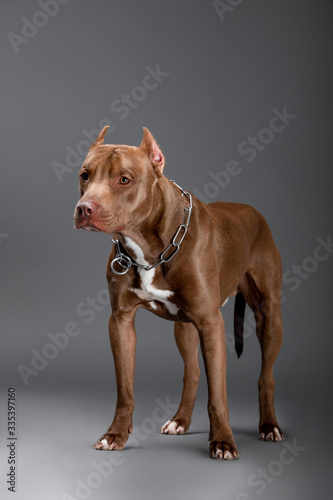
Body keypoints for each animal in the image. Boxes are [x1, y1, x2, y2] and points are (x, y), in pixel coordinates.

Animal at [72, 127, 282, 458]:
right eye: (84, 175)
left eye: (124, 179)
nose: (84, 209)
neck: (147, 248)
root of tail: (252, 210)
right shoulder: (121, 322)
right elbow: (124, 388)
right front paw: (115, 434)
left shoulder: (211, 324)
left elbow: (218, 393)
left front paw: (222, 440)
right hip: (184, 328)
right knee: (192, 372)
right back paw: (180, 420)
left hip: (269, 317)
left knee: (266, 376)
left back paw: (269, 426)